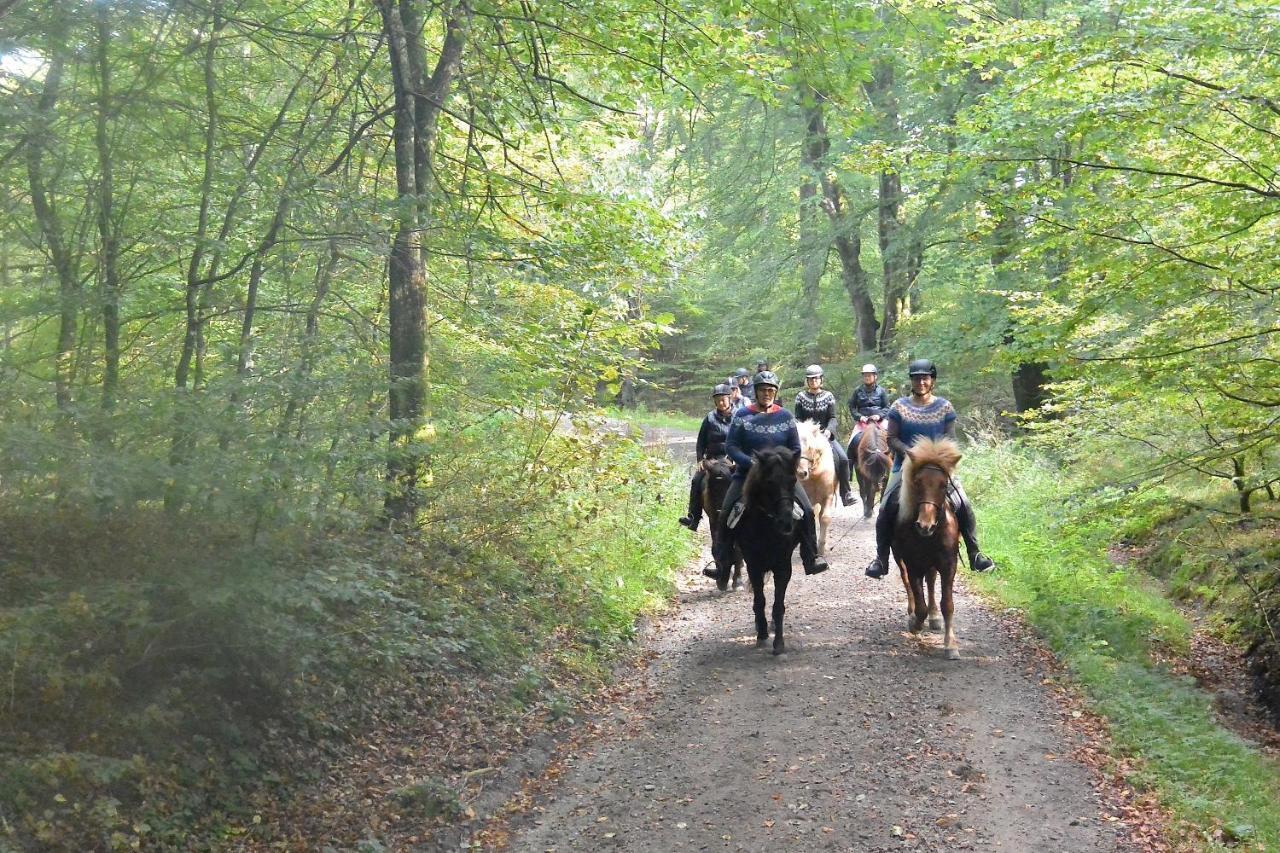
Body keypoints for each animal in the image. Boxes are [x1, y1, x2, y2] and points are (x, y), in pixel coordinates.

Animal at [706, 455, 747, 589]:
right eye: (712, 487)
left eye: (729, 486)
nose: (720, 511)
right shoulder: (714, 521)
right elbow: (716, 547)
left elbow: (738, 551)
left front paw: (737, 580)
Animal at [732, 440, 798, 653]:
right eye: (769, 482)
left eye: (793, 480)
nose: (786, 523)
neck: (768, 526)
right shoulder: (754, 565)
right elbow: (760, 600)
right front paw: (761, 634)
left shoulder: (783, 566)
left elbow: (778, 605)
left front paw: (779, 643)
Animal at [798, 422, 839, 555]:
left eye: (810, 447)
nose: (801, 473)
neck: (815, 475)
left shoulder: (828, 497)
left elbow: (824, 518)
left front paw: (821, 548)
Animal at [890, 438, 962, 655]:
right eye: (917, 482)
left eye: (944, 485)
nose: (925, 526)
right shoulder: (913, 563)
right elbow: (918, 600)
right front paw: (915, 623)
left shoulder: (948, 564)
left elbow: (948, 604)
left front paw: (951, 645)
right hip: (899, 557)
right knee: (907, 582)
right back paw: (912, 613)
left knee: (930, 581)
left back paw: (934, 616)